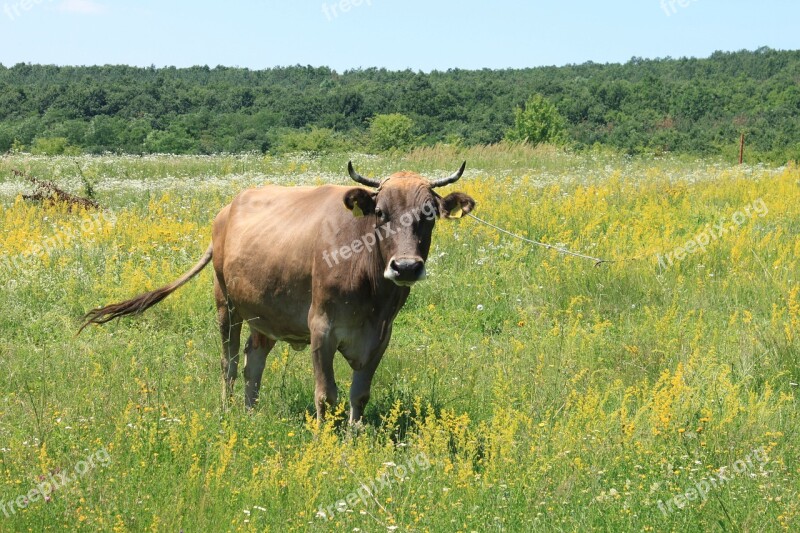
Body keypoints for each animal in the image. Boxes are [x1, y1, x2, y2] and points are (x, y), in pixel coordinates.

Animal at [83, 162, 476, 424]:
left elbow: (359, 395)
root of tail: (227, 209)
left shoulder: (380, 335)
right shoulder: (322, 328)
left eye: (430, 214)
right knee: (228, 362)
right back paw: (227, 410)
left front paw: (354, 441)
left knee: (252, 361)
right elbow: (326, 395)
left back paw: (250, 412)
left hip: (265, 312)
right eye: (380, 212)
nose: (406, 267)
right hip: (225, 304)